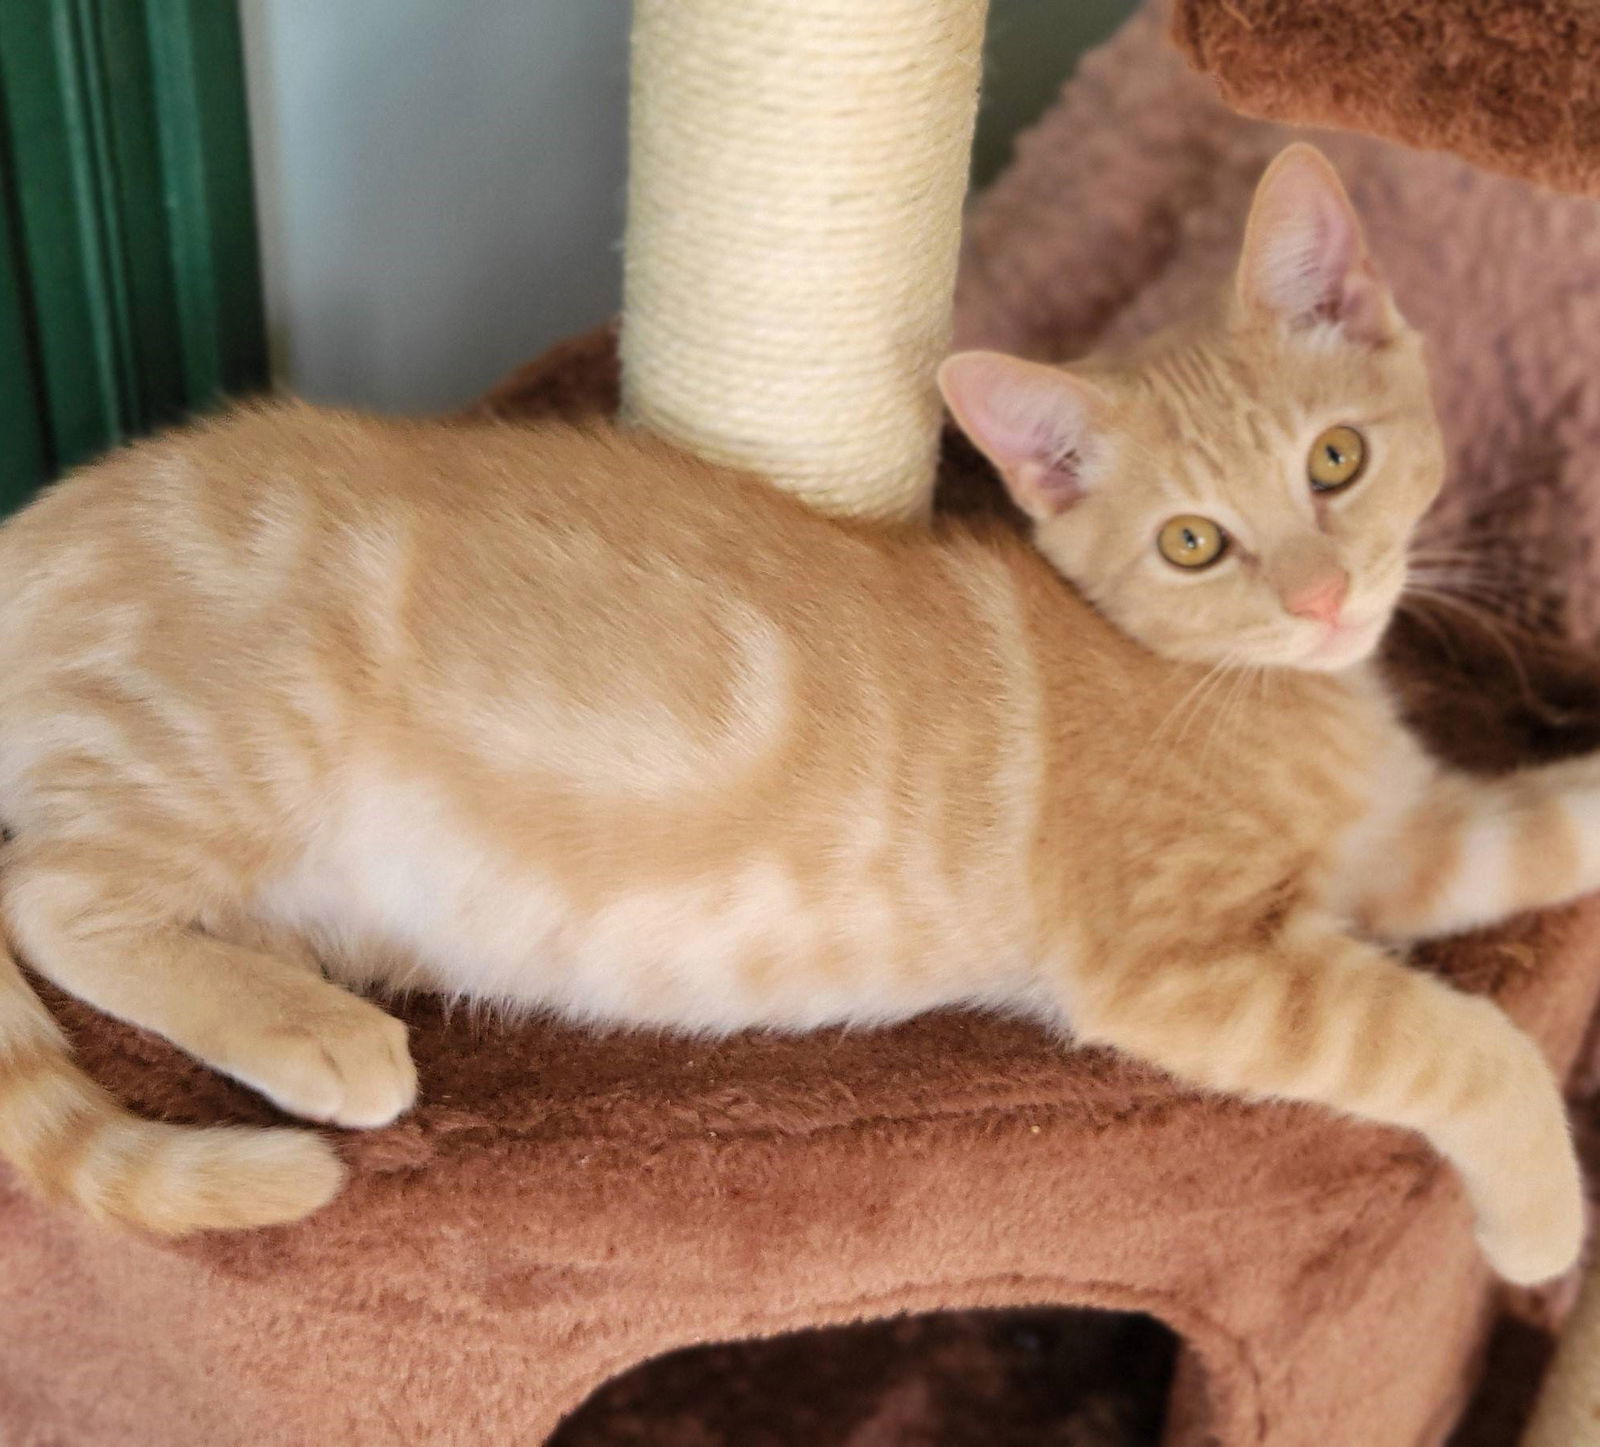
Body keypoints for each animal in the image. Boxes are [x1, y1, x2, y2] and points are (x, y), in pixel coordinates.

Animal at [0, 144, 1580, 1280]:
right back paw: (315, 1035)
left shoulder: (1402, 842)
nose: (1322, 598)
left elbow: (1535, 829)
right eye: (1194, 542)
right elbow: (1458, 1043)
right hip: (226, 742)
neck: (1271, 698)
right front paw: (1542, 1221)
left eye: (1336, 459)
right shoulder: (1181, 964)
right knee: (46, 895)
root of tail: (45, 523)